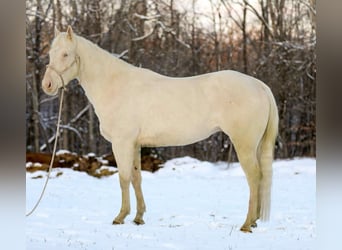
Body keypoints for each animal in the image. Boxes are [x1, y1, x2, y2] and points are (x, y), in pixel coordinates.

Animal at [41, 25, 280, 232]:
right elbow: (136, 178)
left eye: (65, 54)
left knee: (254, 177)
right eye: (51, 53)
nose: (47, 85)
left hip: (244, 144)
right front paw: (138, 217)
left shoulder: (122, 143)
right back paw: (254, 220)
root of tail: (259, 85)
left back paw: (247, 224)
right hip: (255, 145)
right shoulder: (135, 144)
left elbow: (123, 178)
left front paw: (120, 216)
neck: (115, 85)